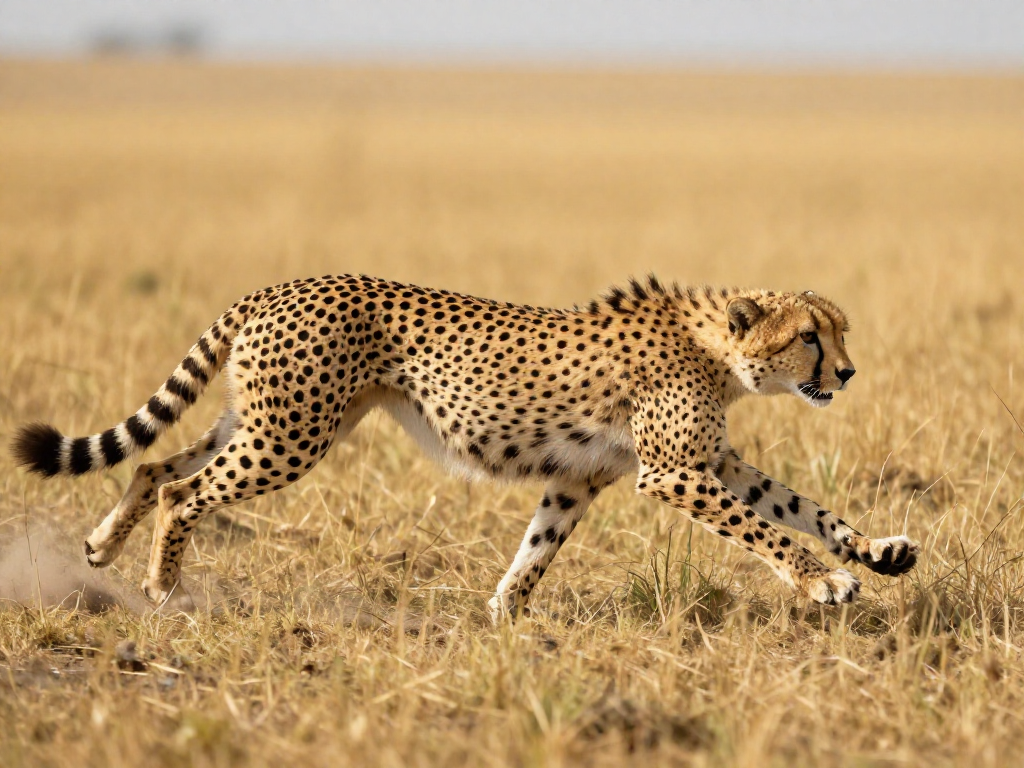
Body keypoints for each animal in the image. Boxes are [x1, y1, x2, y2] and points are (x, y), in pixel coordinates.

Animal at [12, 274, 918, 619]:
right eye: (810, 337)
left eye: (838, 331)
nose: (848, 371)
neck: (719, 350)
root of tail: (282, 284)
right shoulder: (671, 473)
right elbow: (768, 529)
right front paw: (826, 581)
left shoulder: (611, 474)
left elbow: (801, 505)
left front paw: (878, 550)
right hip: (291, 436)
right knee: (181, 489)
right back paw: (163, 587)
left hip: (269, 421)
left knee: (154, 462)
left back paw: (101, 548)